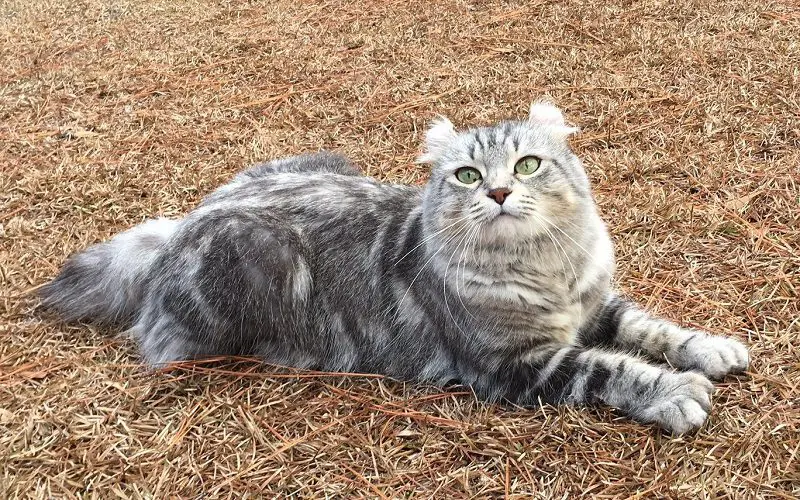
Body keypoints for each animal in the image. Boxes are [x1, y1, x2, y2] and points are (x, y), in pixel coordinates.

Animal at [39, 100, 752, 434]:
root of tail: (184, 224)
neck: (543, 269)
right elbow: (613, 368)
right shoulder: (516, 365)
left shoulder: (596, 304)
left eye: (527, 165)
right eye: (467, 175)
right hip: (246, 264)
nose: (499, 193)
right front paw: (675, 394)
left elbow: (655, 330)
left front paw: (712, 350)